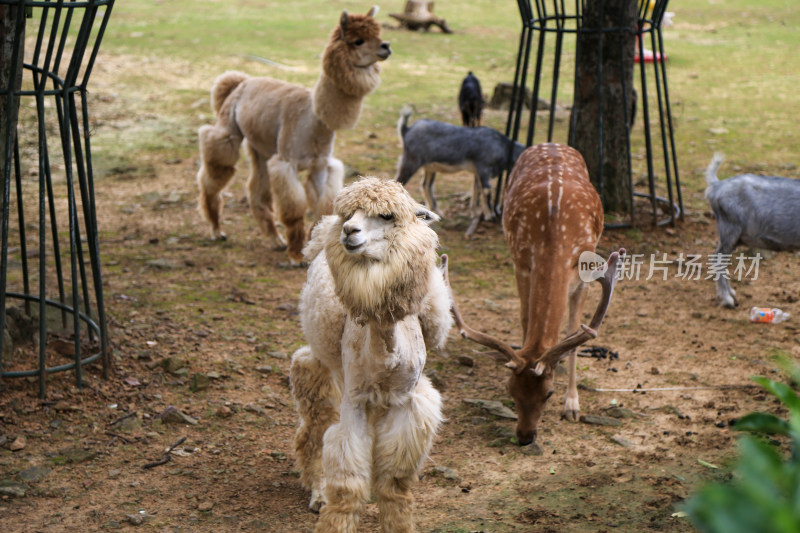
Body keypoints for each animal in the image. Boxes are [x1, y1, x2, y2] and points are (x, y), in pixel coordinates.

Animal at [290, 177, 450, 528]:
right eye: (350, 213)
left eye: (387, 216)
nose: (349, 230)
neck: (385, 360)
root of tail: (321, 234)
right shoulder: (355, 398)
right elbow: (348, 483)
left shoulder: (405, 400)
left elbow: (394, 482)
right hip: (323, 364)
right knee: (315, 427)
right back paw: (318, 493)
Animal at [394, 107, 524, 236]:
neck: (503, 146)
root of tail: (406, 129)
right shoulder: (483, 168)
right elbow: (486, 190)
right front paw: (490, 216)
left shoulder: (477, 172)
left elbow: (476, 190)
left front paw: (474, 213)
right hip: (411, 161)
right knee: (399, 182)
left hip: (430, 167)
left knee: (426, 185)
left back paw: (436, 213)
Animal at [446, 142, 620, 444]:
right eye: (510, 390)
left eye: (548, 393)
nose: (525, 436)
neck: (553, 235)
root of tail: (551, 143)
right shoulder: (521, 265)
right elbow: (526, 319)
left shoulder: (584, 275)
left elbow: (575, 334)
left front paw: (572, 405)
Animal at [708, 152, 800, 306]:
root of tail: (716, 186)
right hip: (730, 229)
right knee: (718, 260)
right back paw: (728, 299)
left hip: (731, 236)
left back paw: (731, 294)